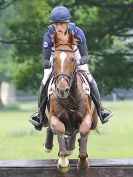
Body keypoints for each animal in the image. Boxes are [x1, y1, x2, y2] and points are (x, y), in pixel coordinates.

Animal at [44, 31, 97, 171]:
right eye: (54, 59)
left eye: (72, 59)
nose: (62, 89)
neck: (69, 98)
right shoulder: (54, 117)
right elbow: (59, 130)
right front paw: (63, 162)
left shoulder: (87, 116)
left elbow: (84, 130)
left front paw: (83, 163)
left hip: (94, 121)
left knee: (77, 131)